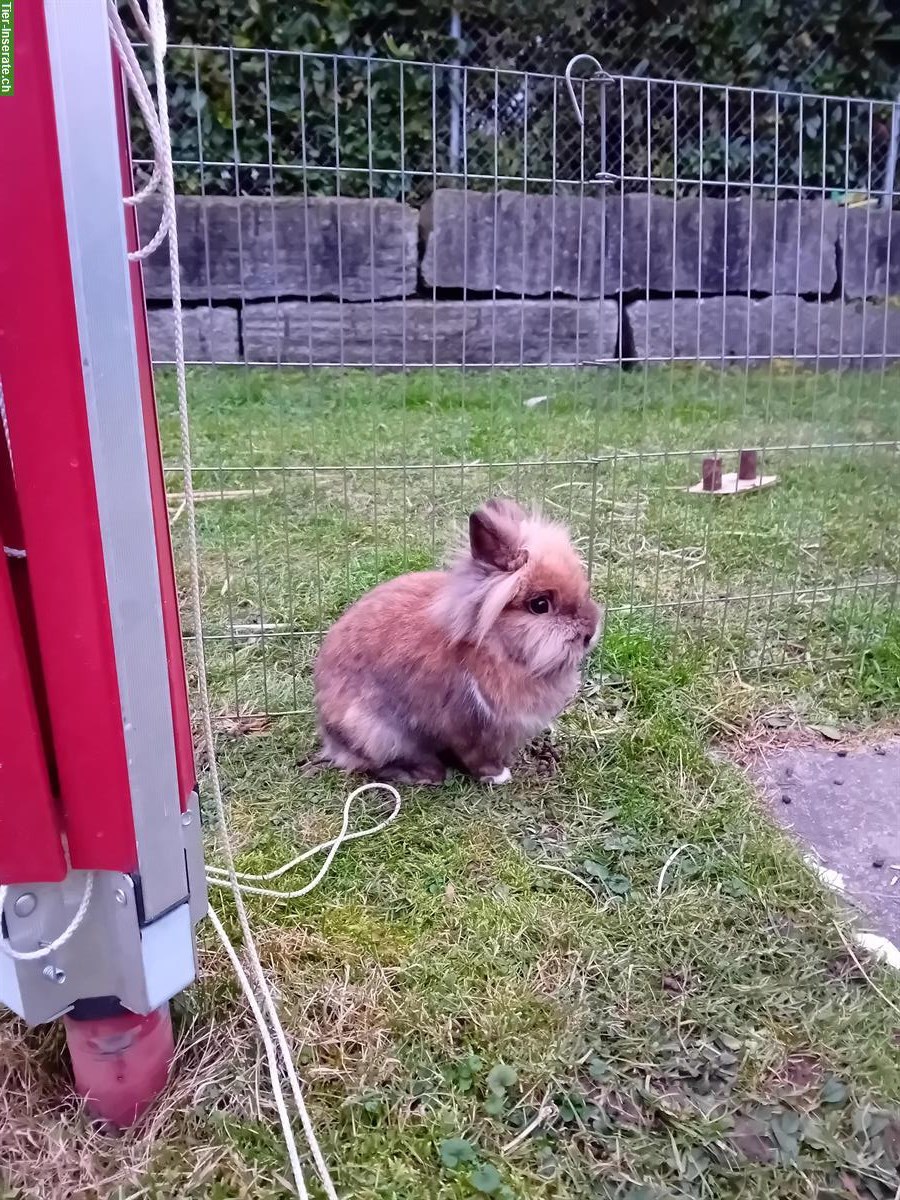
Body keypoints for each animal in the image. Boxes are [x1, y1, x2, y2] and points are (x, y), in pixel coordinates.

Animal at [314, 496, 602, 787]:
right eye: (540, 605)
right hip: (378, 733)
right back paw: (429, 774)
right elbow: (477, 756)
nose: (590, 633)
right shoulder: (468, 727)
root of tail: (330, 734)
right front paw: (498, 775)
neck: (495, 647)